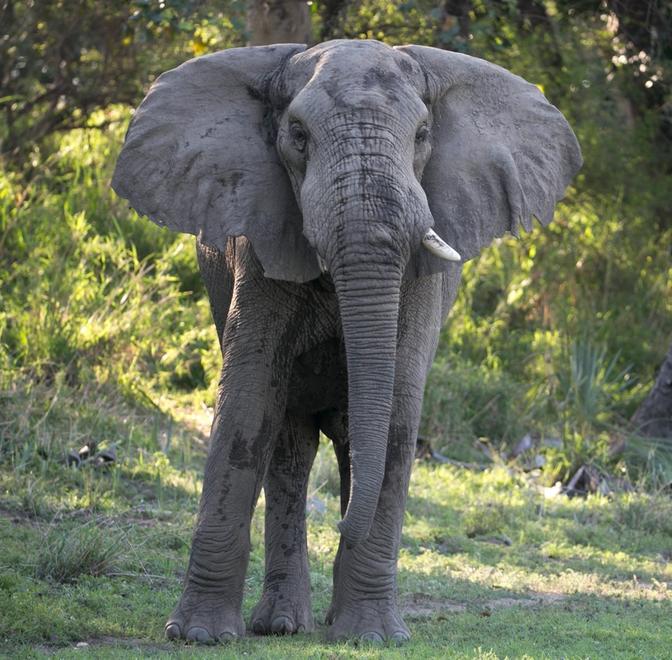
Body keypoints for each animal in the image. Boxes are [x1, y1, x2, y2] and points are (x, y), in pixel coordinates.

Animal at [112, 39, 581, 644]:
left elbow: (397, 413)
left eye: (422, 134)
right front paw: (197, 636)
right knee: (289, 446)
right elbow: (247, 403)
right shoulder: (258, 240)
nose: (339, 524)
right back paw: (282, 625)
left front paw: (371, 637)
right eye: (297, 134)